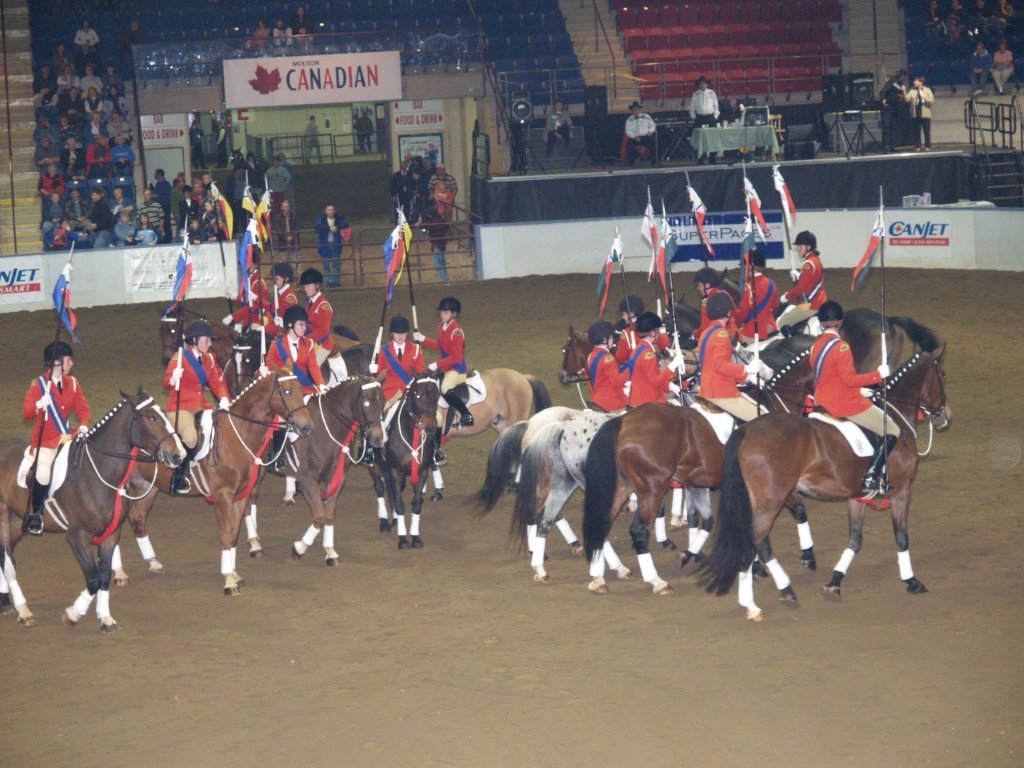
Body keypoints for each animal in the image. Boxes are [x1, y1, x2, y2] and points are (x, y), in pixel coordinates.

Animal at [0, 391, 183, 630]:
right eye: (151, 417)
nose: (179, 455)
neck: (97, 473)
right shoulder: (77, 536)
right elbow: (93, 579)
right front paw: (72, 614)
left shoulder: (110, 535)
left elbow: (103, 578)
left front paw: (105, 618)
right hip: (3, 520)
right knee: (7, 564)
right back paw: (24, 611)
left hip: (16, 521)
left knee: (7, 559)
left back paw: (6, 603)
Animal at [119, 370, 311, 598]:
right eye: (287, 391)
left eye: (300, 390)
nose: (307, 426)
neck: (236, 435)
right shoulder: (223, 497)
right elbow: (226, 534)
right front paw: (229, 580)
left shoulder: (240, 495)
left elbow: (234, 533)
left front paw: (235, 573)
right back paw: (119, 574)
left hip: (147, 487)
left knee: (137, 517)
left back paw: (153, 562)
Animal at [243, 376, 385, 565]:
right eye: (366, 403)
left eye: (382, 402)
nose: (378, 439)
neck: (328, 429)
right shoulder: (307, 479)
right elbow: (319, 517)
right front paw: (299, 548)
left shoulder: (336, 478)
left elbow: (329, 515)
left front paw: (330, 552)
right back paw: (254, 544)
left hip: (261, 470)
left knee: (252, 499)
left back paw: (255, 538)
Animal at [704, 346, 950, 622]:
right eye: (942, 375)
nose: (945, 416)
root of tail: (746, 430)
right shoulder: (902, 491)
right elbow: (902, 537)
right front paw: (912, 581)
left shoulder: (858, 495)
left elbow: (855, 539)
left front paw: (835, 581)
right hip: (770, 500)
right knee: (755, 541)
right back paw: (756, 601)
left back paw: (777, 589)